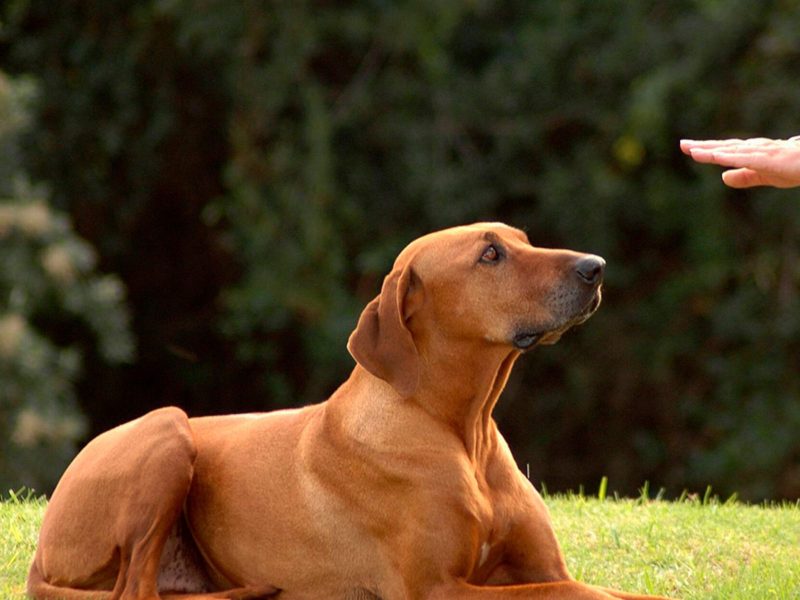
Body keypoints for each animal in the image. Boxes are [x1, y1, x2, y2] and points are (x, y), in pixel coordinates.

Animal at [26, 224, 676, 600]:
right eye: (490, 255)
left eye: (525, 239)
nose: (595, 267)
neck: (461, 432)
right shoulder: (437, 589)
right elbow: (575, 596)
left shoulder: (544, 566)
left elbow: (607, 593)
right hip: (167, 427)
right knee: (134, 591)